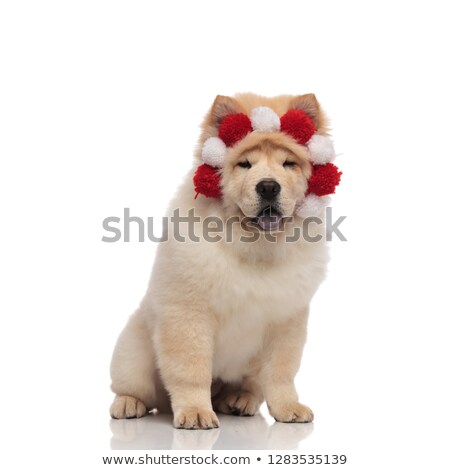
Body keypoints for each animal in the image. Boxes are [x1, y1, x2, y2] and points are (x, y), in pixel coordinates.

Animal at [110, 92, 342, 430]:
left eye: (288, 164)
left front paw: (288, 408)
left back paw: (238, 400)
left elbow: (281, 372)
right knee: (133, 386)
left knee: (252, 384)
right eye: (244, 164)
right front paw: (195, 412)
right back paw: (128, 404)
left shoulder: (286, 319)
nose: (268, 186)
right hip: (134, 353)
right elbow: (191, 370)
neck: (254, 244)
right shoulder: (188, 313)